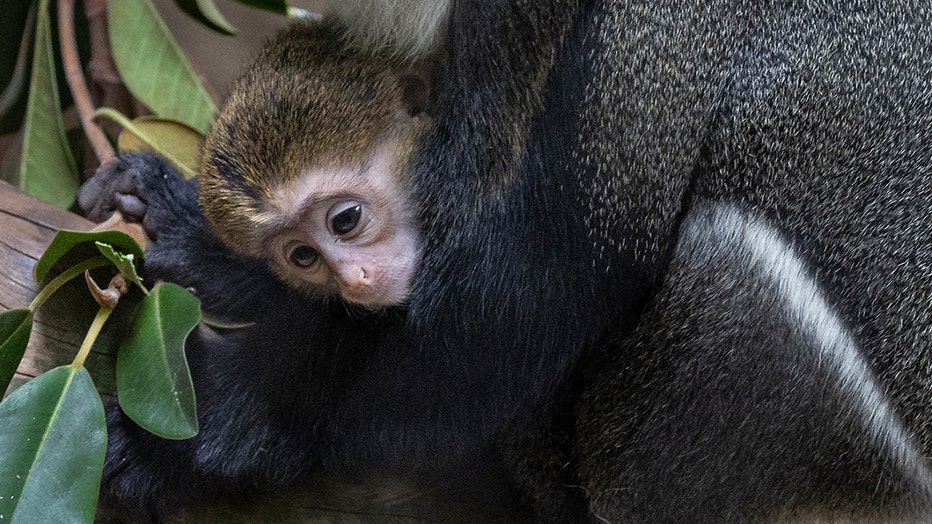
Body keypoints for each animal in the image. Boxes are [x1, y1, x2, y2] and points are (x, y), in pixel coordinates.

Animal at [79, 1, 932, 522]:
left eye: (348, 219)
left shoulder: (648, 35)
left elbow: (535, 301)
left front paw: (198, 437)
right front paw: (203, 243)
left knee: (736, 274)